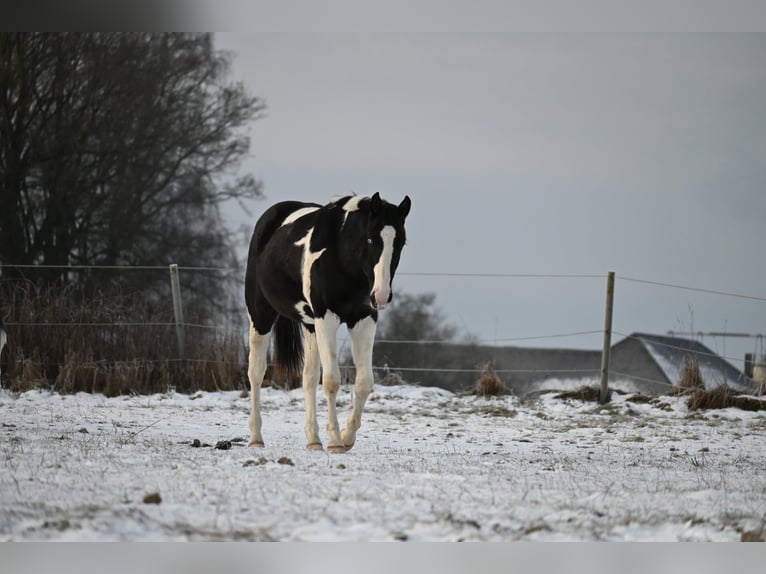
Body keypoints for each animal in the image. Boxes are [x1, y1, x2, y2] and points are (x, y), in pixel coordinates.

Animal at [245, 192, 411, 453]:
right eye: (371, 238)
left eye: (400, 242)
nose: (382, 296)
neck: (342, 257)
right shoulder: (327, 317)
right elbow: (332, 380)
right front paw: (335, 441)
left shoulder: (363, 319)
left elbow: (364, 382)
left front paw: (347, 436)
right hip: (261, 315)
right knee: (256, 373)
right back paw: (256, 438)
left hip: (311, 326)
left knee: (309, 378)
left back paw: (313, 439)